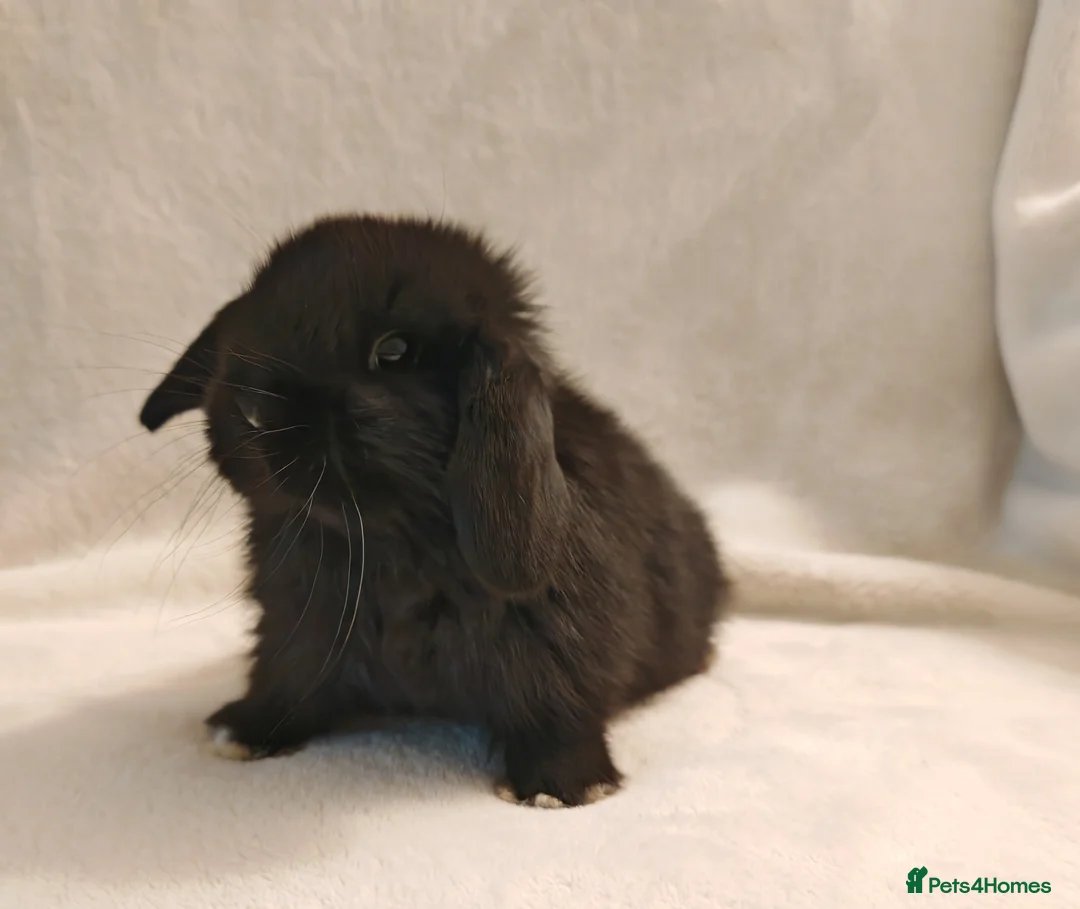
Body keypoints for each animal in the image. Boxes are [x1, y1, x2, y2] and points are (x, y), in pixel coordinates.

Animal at [139, 214, 728, 808]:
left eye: (395, 351)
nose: (253, 409)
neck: (383, 539)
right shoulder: (294, 629)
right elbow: (287, 679)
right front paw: (241, 731)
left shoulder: (567, 640)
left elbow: (559, 710)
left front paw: (562, 787)